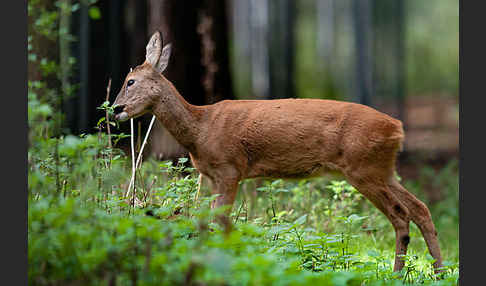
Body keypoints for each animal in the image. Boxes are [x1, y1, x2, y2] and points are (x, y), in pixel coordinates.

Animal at [114, 30, 444, 272]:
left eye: (130, 81)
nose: (115, 109)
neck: (200, 128)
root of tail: (398, 128)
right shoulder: (212, 176)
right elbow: (206, 220)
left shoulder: (229, 169)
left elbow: (221, 222)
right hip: (383, 170)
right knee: (421, 208)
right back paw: (436, 272)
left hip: (363, 168)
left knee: (401, 215)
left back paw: (399, 273)